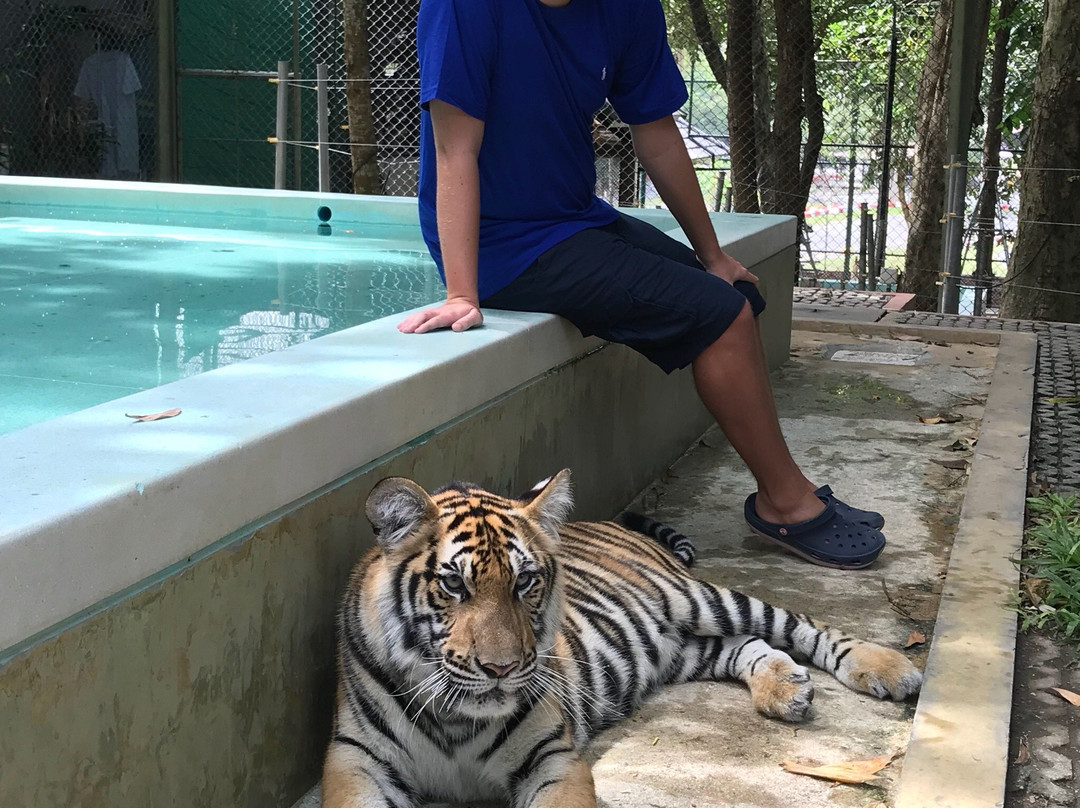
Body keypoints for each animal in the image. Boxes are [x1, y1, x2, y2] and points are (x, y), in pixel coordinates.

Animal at [322, 470, 922, 808]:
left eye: (525, 582)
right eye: (453, 585)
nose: (501, 669)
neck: (456, 717)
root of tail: (605, 523)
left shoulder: (552, 757)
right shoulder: (356, 760)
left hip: (695, 598)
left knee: (799, 624)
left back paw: (890, 669)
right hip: (680, 647)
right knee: (746, 644)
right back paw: (784, 689)